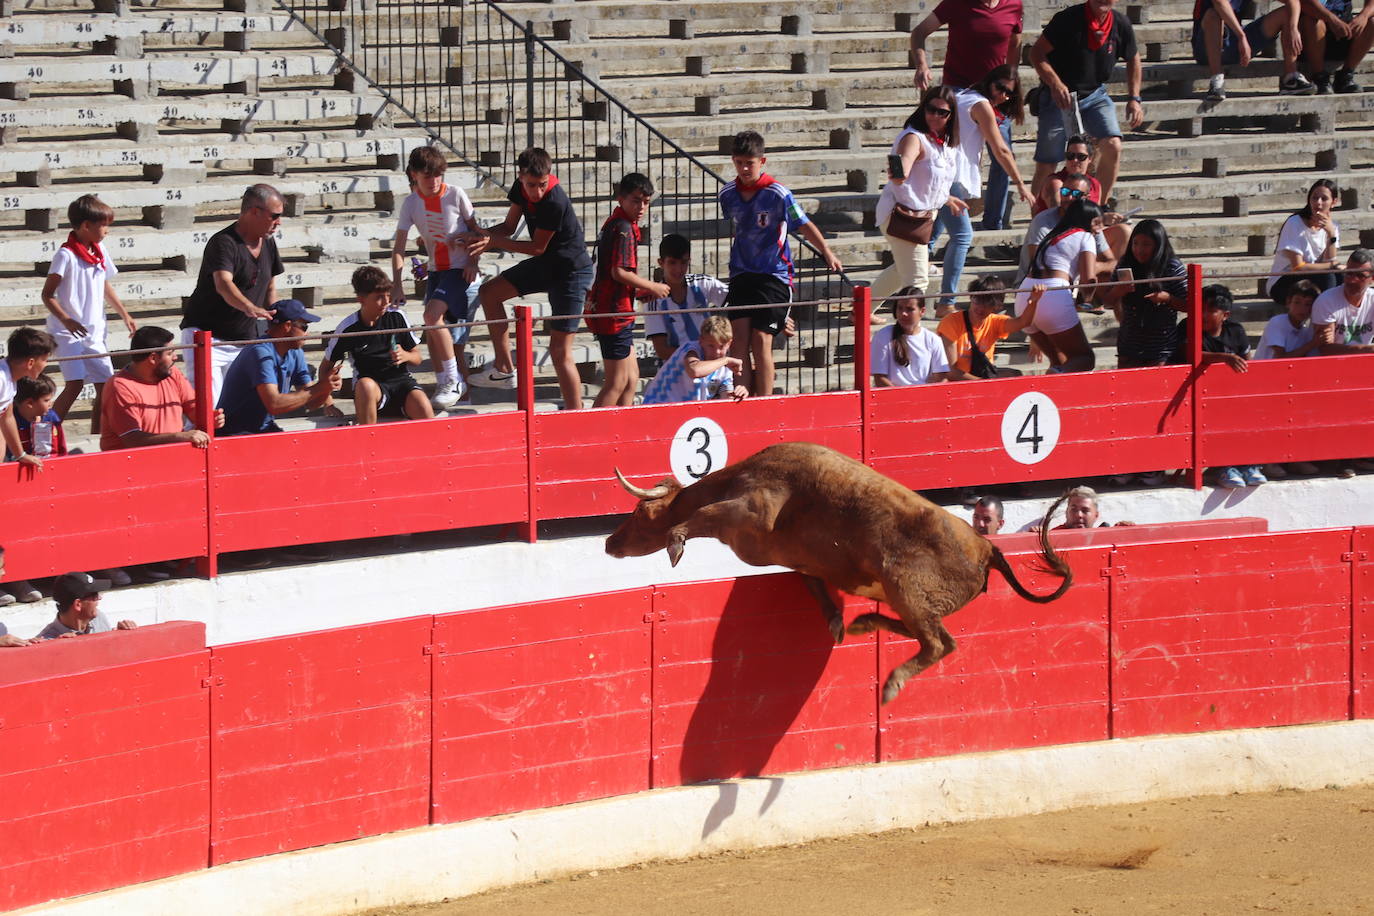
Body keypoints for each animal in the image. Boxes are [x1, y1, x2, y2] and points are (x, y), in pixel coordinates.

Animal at [610, 442, 1071, 703]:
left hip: (906, 588)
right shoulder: (802, 561)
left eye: (638, 513)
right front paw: (835, 621)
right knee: (935, 637)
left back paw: (891, 684)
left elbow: (696, 518)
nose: (609, 543)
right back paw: (863, 623)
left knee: (938, 644)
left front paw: (675, 543)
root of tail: (987, 547)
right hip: (915, 599)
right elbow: (814, 586)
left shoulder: (749, 511)